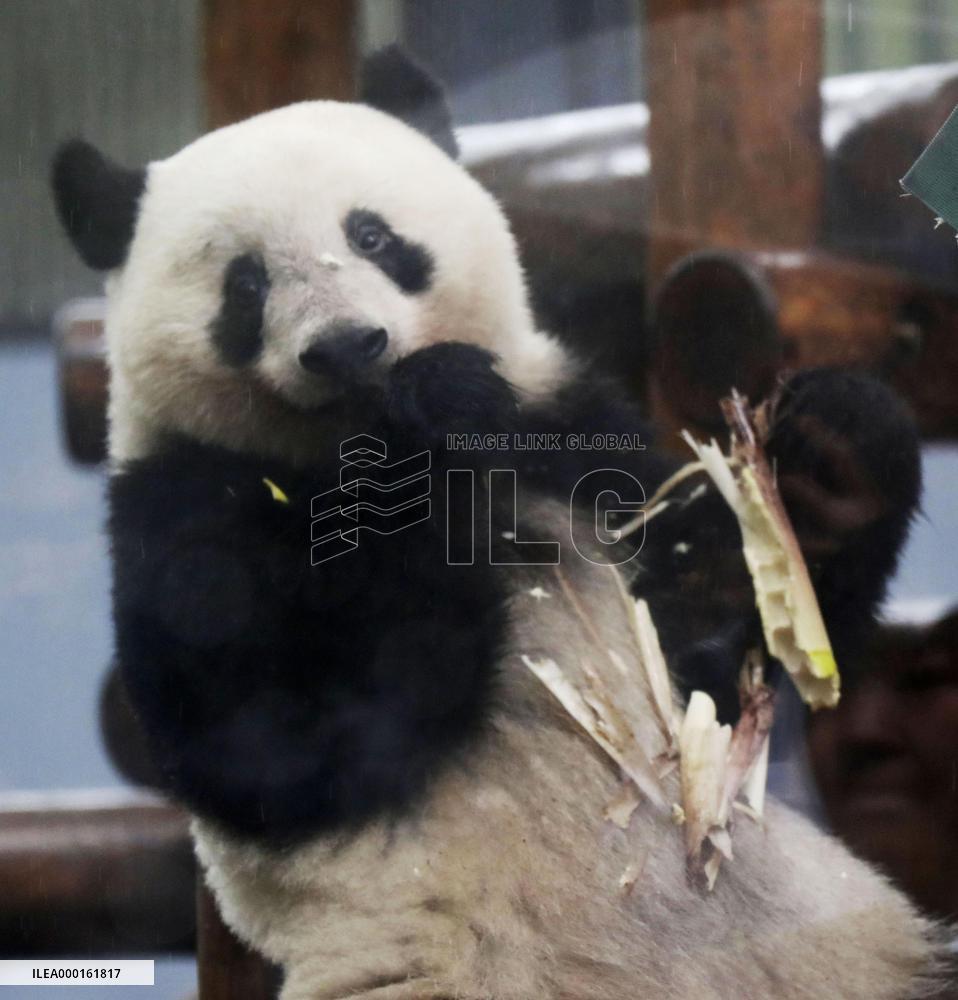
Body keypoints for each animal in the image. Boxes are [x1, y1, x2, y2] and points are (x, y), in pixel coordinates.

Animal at [52, 46, 951, 1000]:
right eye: (246, 283)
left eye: (372, 236)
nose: (346, 347)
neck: (344, 443)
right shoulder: (182, 504)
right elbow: (283, 744)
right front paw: (430, 428)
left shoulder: (567, 440)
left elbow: (713, 649)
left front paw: (832, 455)